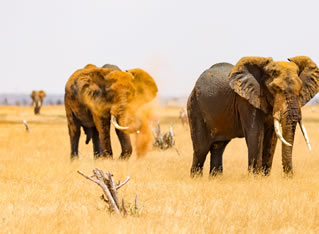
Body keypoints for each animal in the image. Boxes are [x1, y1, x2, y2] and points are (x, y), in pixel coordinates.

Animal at [188, 56, 319, 176]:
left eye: (300, 89)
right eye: (274, 88)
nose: (289, 177)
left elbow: (271, 136)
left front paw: (264, 178)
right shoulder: (245, 101)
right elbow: (255, 133)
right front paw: (255, 178)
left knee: (218, 147)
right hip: (195, 107)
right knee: (201, 150)